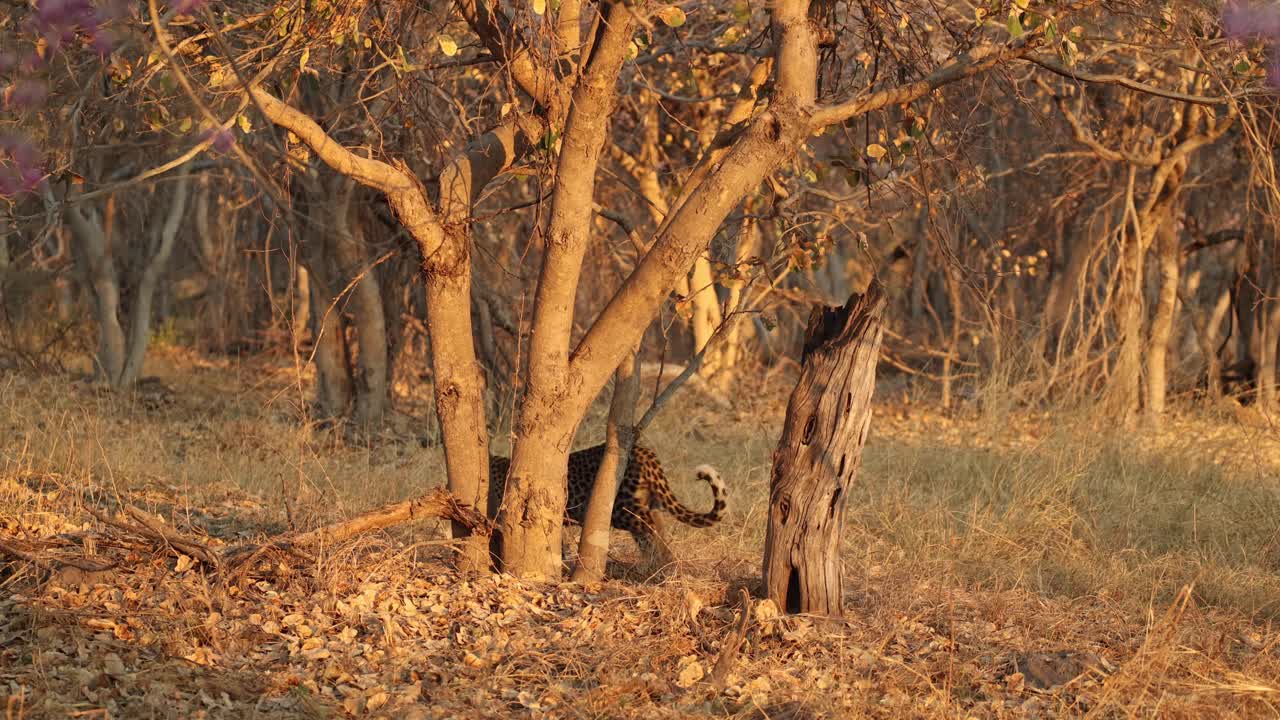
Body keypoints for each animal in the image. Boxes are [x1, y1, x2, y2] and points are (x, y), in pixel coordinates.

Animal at [488, 443, 727, 560]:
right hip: (646, 505)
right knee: (657, 531)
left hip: (624, 510)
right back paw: (661, 565)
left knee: (652, 529)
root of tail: (645, 452)